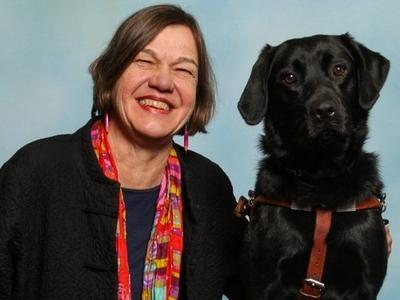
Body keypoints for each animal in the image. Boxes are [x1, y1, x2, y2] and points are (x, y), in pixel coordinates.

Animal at [238, 32, 390, 300]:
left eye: (339, 69)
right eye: (289, 77)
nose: (324, 110)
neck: (321, 178)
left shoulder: (364, 282)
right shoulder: (265, 282)